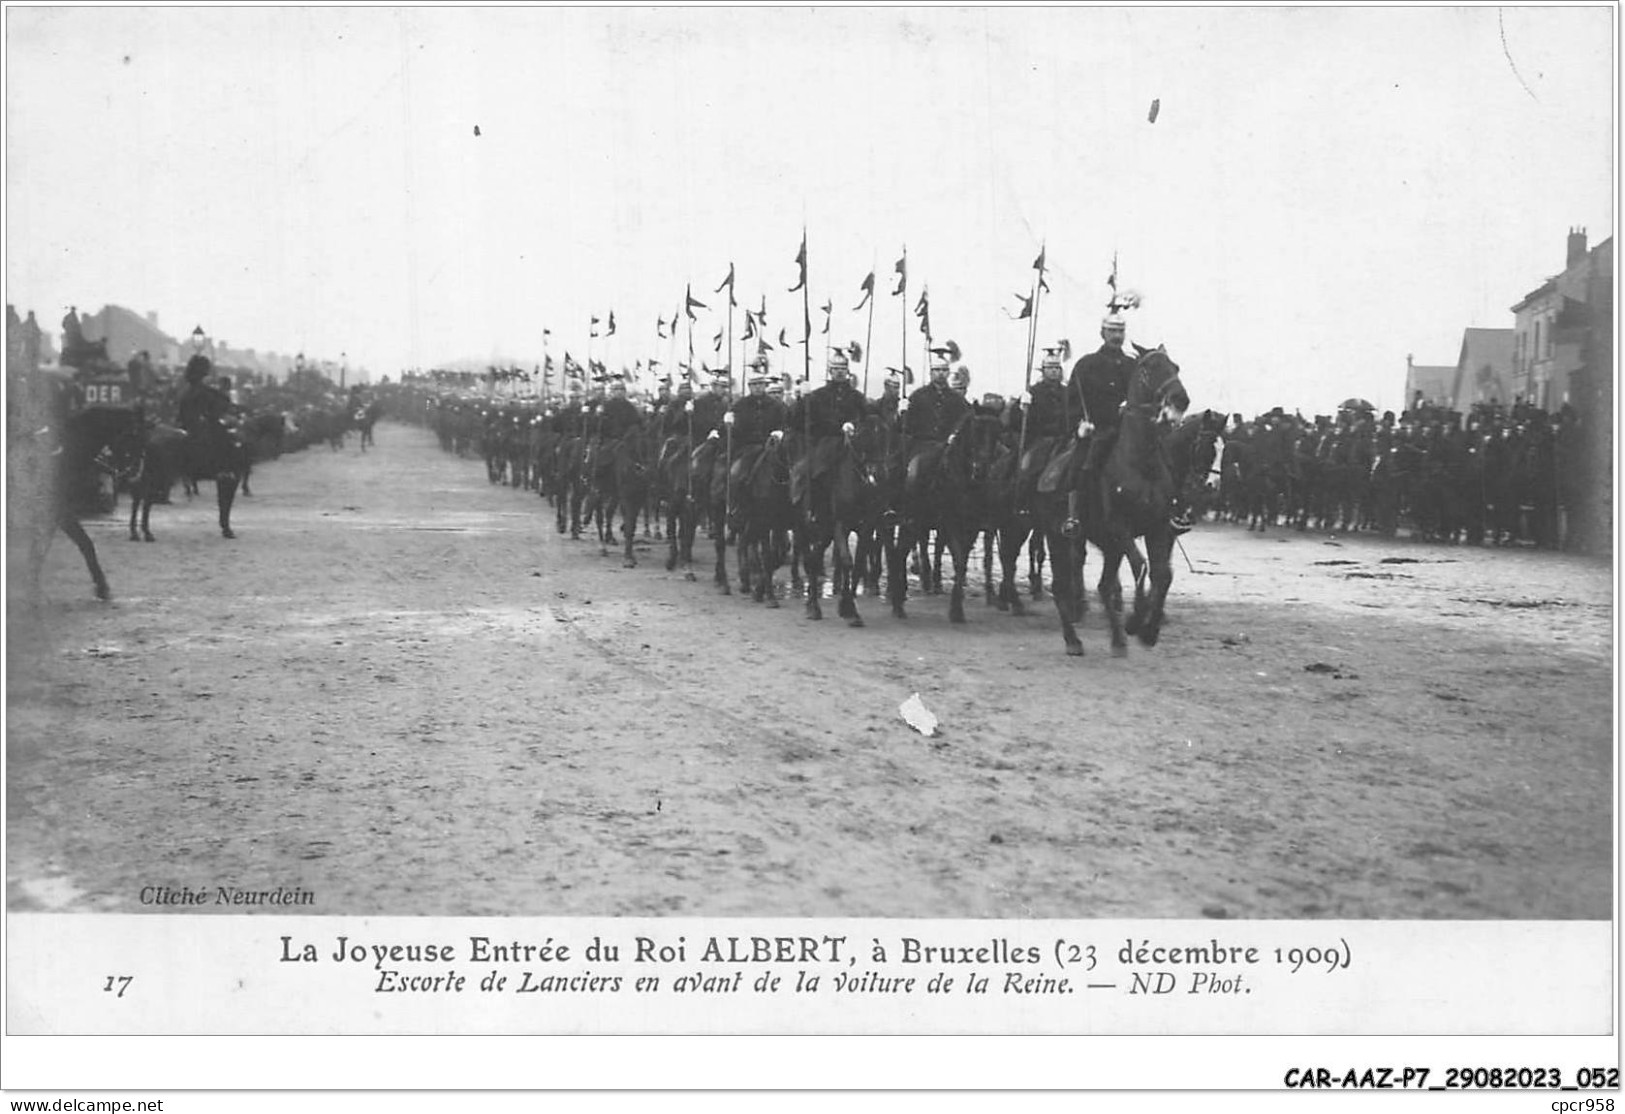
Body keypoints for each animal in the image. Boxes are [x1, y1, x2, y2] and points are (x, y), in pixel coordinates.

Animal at [1040, 344, 1196, 659]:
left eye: (1175, 367)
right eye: (1148, 368)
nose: (1180, 399)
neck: (1141, 463)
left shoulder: (1157, 529)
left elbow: (1163, 575)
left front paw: (1149, 630)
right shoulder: (1120, 527)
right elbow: (1141, 567)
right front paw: (1136, 620)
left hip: (1107, 546)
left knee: (1103, 586)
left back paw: (1117, 641)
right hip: (1059, 538)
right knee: (1062, 586)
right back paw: (1073, 640)